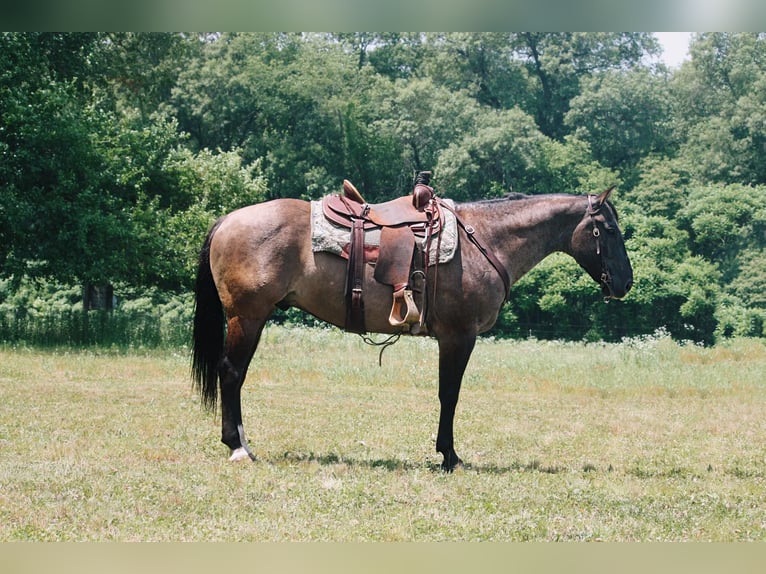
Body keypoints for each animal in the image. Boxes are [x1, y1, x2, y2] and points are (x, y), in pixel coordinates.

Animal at [192, 187, 636, 470]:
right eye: (610, 230)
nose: (626, 283)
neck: (486, 239)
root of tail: (228, 220)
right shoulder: (459, 337)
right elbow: (449, 395)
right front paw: (449, 456)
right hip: (247, 317)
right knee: (231, 373)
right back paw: (238, 446)